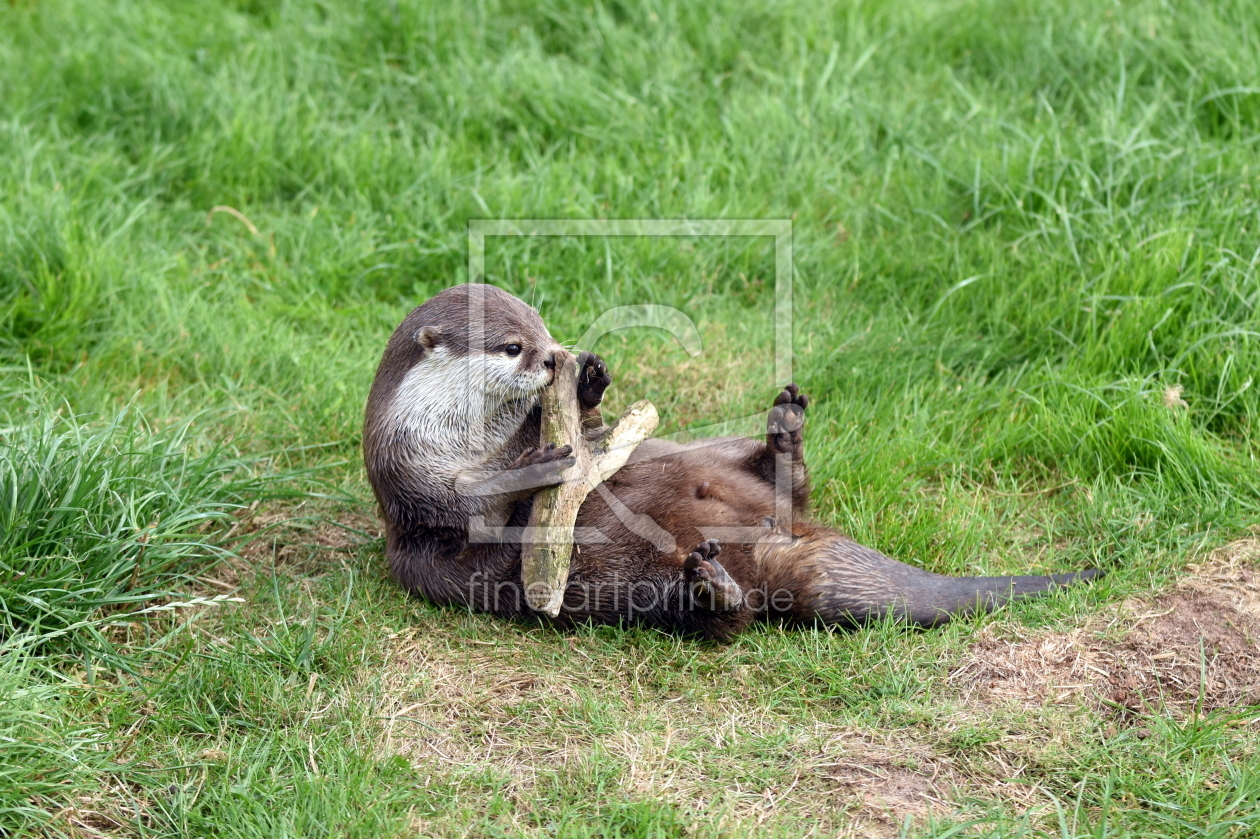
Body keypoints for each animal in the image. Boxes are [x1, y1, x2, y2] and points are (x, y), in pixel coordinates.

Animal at [360, 284, 1098, 637]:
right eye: (512, 347)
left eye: (542, 328)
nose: (552, 357)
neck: (460, 432)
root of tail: (779, 547)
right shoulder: (411, 477)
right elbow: (472, 503)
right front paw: (543, 461)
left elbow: (586, 430)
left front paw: (590, 388)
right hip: (630, 588)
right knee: (726, 622)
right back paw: (713, 589)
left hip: (702, 453)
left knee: (784, 486)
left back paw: (784, 432)